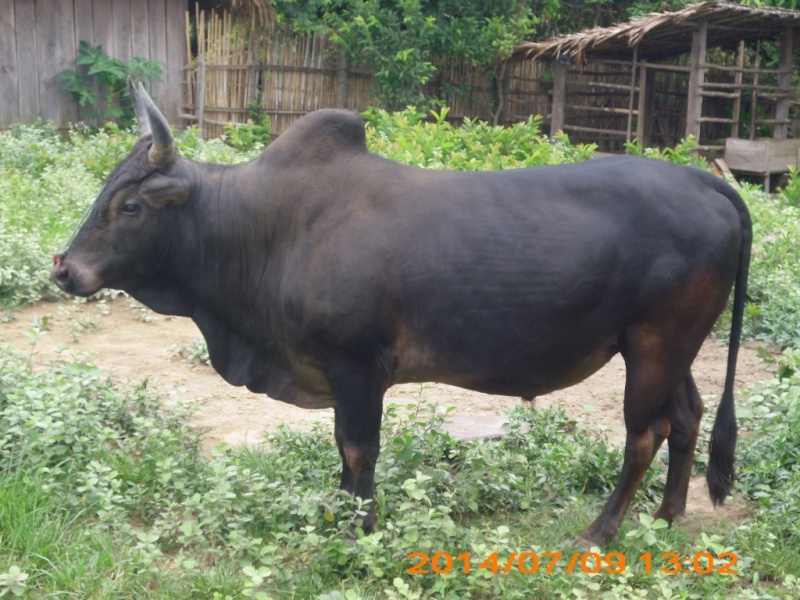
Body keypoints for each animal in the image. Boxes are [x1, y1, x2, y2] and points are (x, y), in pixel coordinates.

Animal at [54, 81, 752, 548]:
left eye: (130, 207)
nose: (65, 268)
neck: (264, 228)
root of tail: (705, 181)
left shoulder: (357, 365)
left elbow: (358, 449)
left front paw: (359, 529)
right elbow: (344, 454)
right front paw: (338, 516)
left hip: (655, 344)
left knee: (644, 434)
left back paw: (601, 531)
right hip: (669, 346)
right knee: (687, 416)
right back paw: (667, 517)